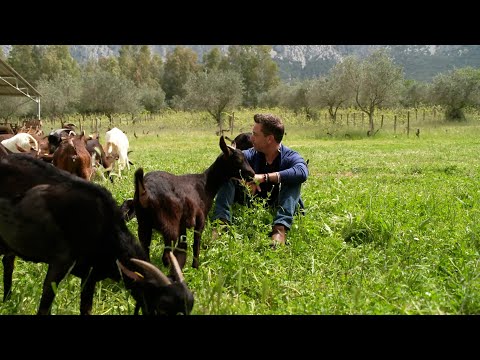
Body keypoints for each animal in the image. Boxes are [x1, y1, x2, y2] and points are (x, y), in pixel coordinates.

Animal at [131, 135, 255, 270]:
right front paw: (196, 267)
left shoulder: (183, 224)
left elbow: (183, 244)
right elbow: (196, 245)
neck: (206, 185)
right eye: (237, 160)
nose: (252, 174)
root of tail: (145, 192)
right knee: (166, 256)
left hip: (143, 224)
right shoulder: (200, 219)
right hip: (169, 225)